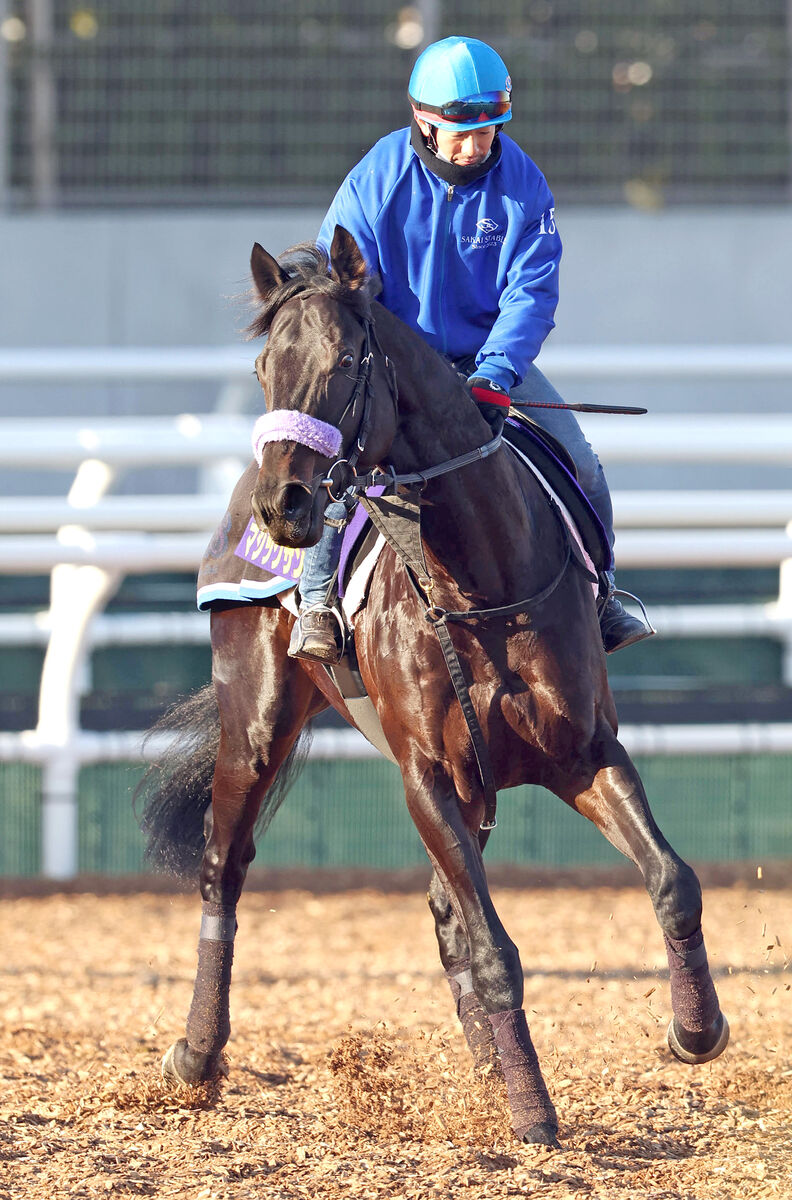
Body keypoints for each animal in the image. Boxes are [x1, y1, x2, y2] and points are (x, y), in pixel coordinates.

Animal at [137, 226, 729, 1152]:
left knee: (447, 912)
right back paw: (197, 1056)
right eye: (266, 366)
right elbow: (493, 949)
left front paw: (694, 1031)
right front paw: (531, 1109)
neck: (481, 581)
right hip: (256, 721)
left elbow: (672, 881)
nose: (284, 503)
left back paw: (489, 1069)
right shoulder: (427, 777)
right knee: (222, 867)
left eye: (346, 361)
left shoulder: (584, 752)